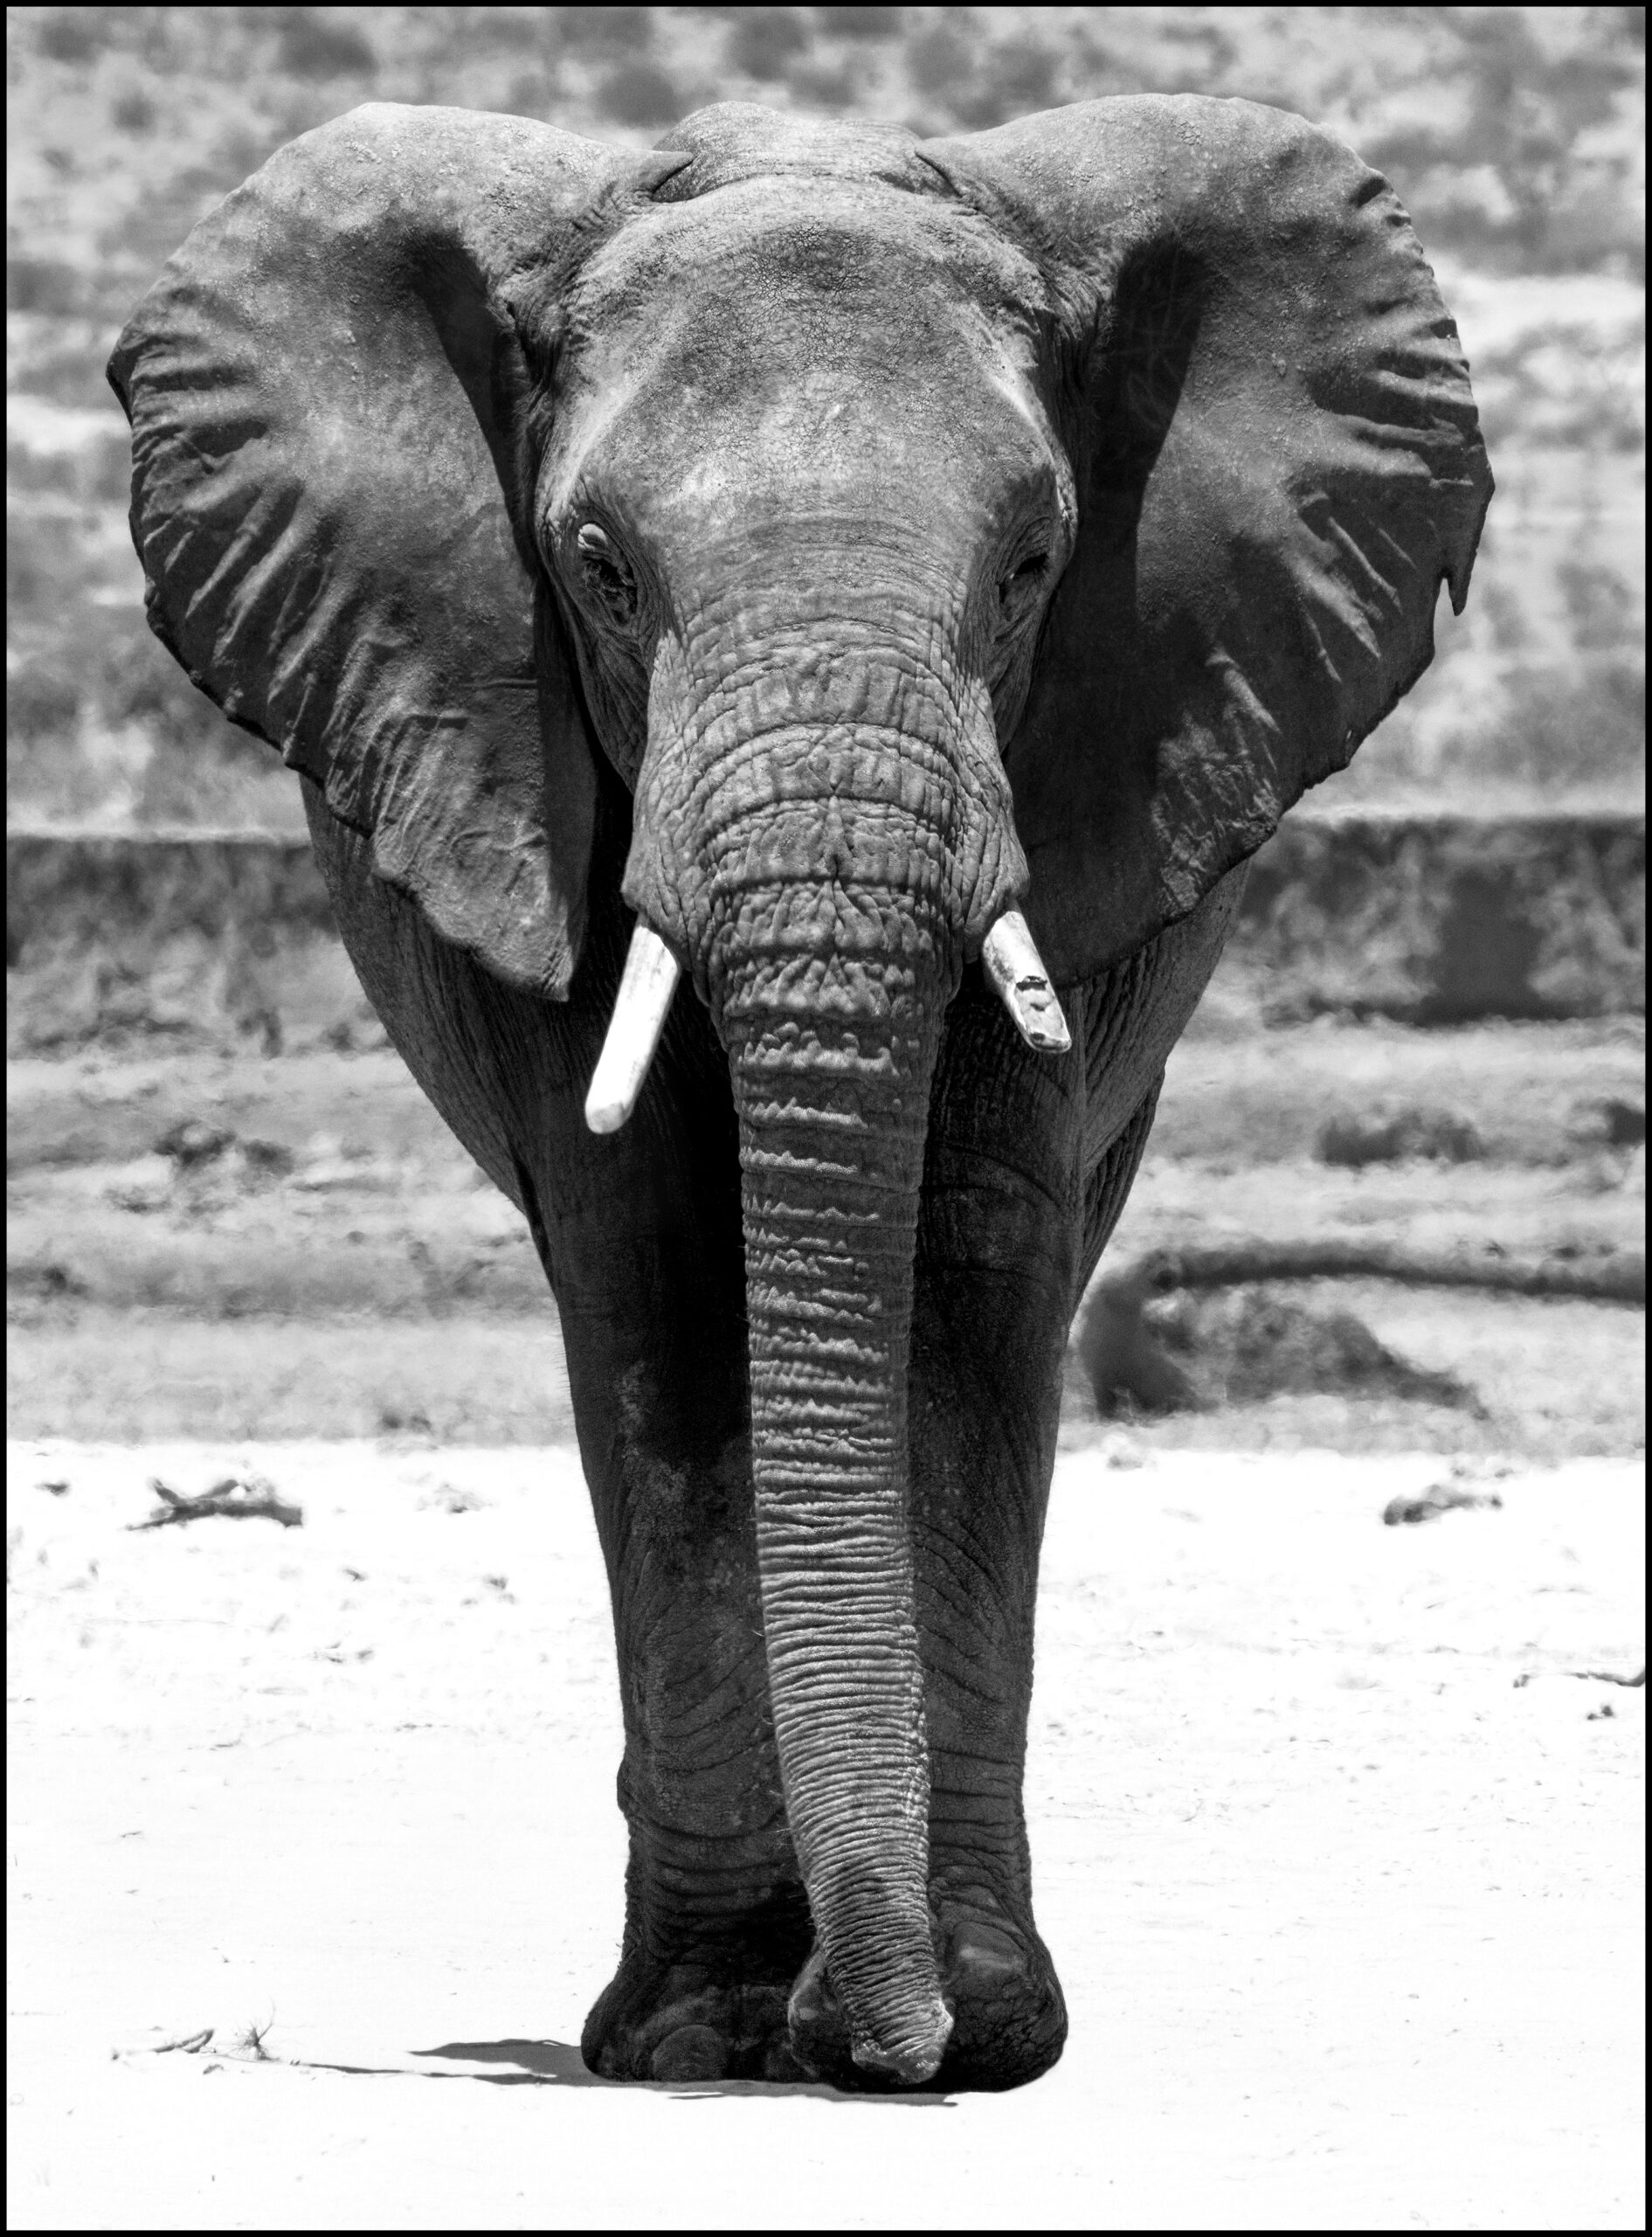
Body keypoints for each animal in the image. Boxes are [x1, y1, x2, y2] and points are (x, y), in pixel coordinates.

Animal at [110, 95, 1490, 2093]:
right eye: (599, 569)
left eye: (1031, 564)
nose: (865, 2032)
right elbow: (664, 1286)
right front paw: (708, 2027)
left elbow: (972, 1277)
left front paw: (975, 2021)